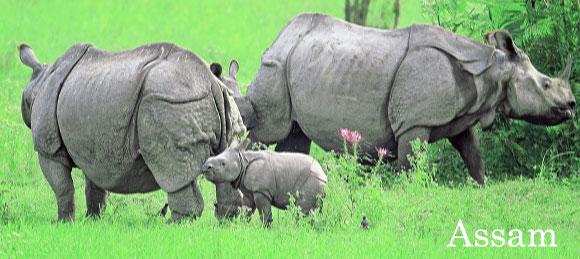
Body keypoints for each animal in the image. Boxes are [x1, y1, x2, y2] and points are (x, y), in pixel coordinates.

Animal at [18, 43, 247, 222]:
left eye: (26, 102)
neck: (40, 81)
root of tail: (212, 83)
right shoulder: (95, 148)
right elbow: (95, 185)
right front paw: (92, 220)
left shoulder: (48, 149)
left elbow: (62, 187)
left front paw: (64, 222)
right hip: (219, 104)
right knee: (225, 163)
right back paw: (225, 223)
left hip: (171, 102)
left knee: (173, 172)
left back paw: (169, 226)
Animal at [225, 13, 576, 186]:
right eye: (546, 84)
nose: (572, 106)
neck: (490, 68)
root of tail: (281, 37)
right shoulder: (414, 123)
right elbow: (411, 164)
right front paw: (410, 193)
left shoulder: (461, 116)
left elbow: (473, 154)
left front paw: (482, 187)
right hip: (277, 66)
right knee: (266, 129)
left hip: (299, 64)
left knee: (294, 136)